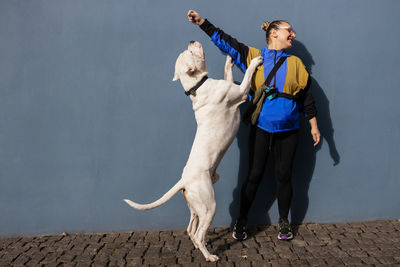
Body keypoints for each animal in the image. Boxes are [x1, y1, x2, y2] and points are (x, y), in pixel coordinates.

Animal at [125, 41, 262, 262]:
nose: (191, 41)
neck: (196, 86)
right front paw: (256, 62)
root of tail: (184, 180)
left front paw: (229, 60)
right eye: (190, 52)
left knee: (191, 229)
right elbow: (247, 76)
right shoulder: (241, 92)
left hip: (195, 206)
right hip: (208, 206)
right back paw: (209, 255)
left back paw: (199, 246)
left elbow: (227, 73)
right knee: (198, 233)